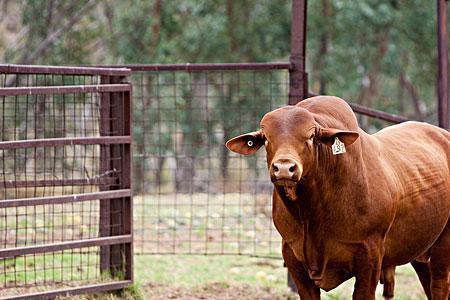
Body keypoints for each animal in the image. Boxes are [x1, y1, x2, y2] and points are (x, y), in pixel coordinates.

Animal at [227, 96, 450, 300]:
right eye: (266, 138)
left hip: (443, 243)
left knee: (440, 285)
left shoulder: (370, 256)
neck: (311, 213)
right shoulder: (292, 256)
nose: (284, 168)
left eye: (310, 136)